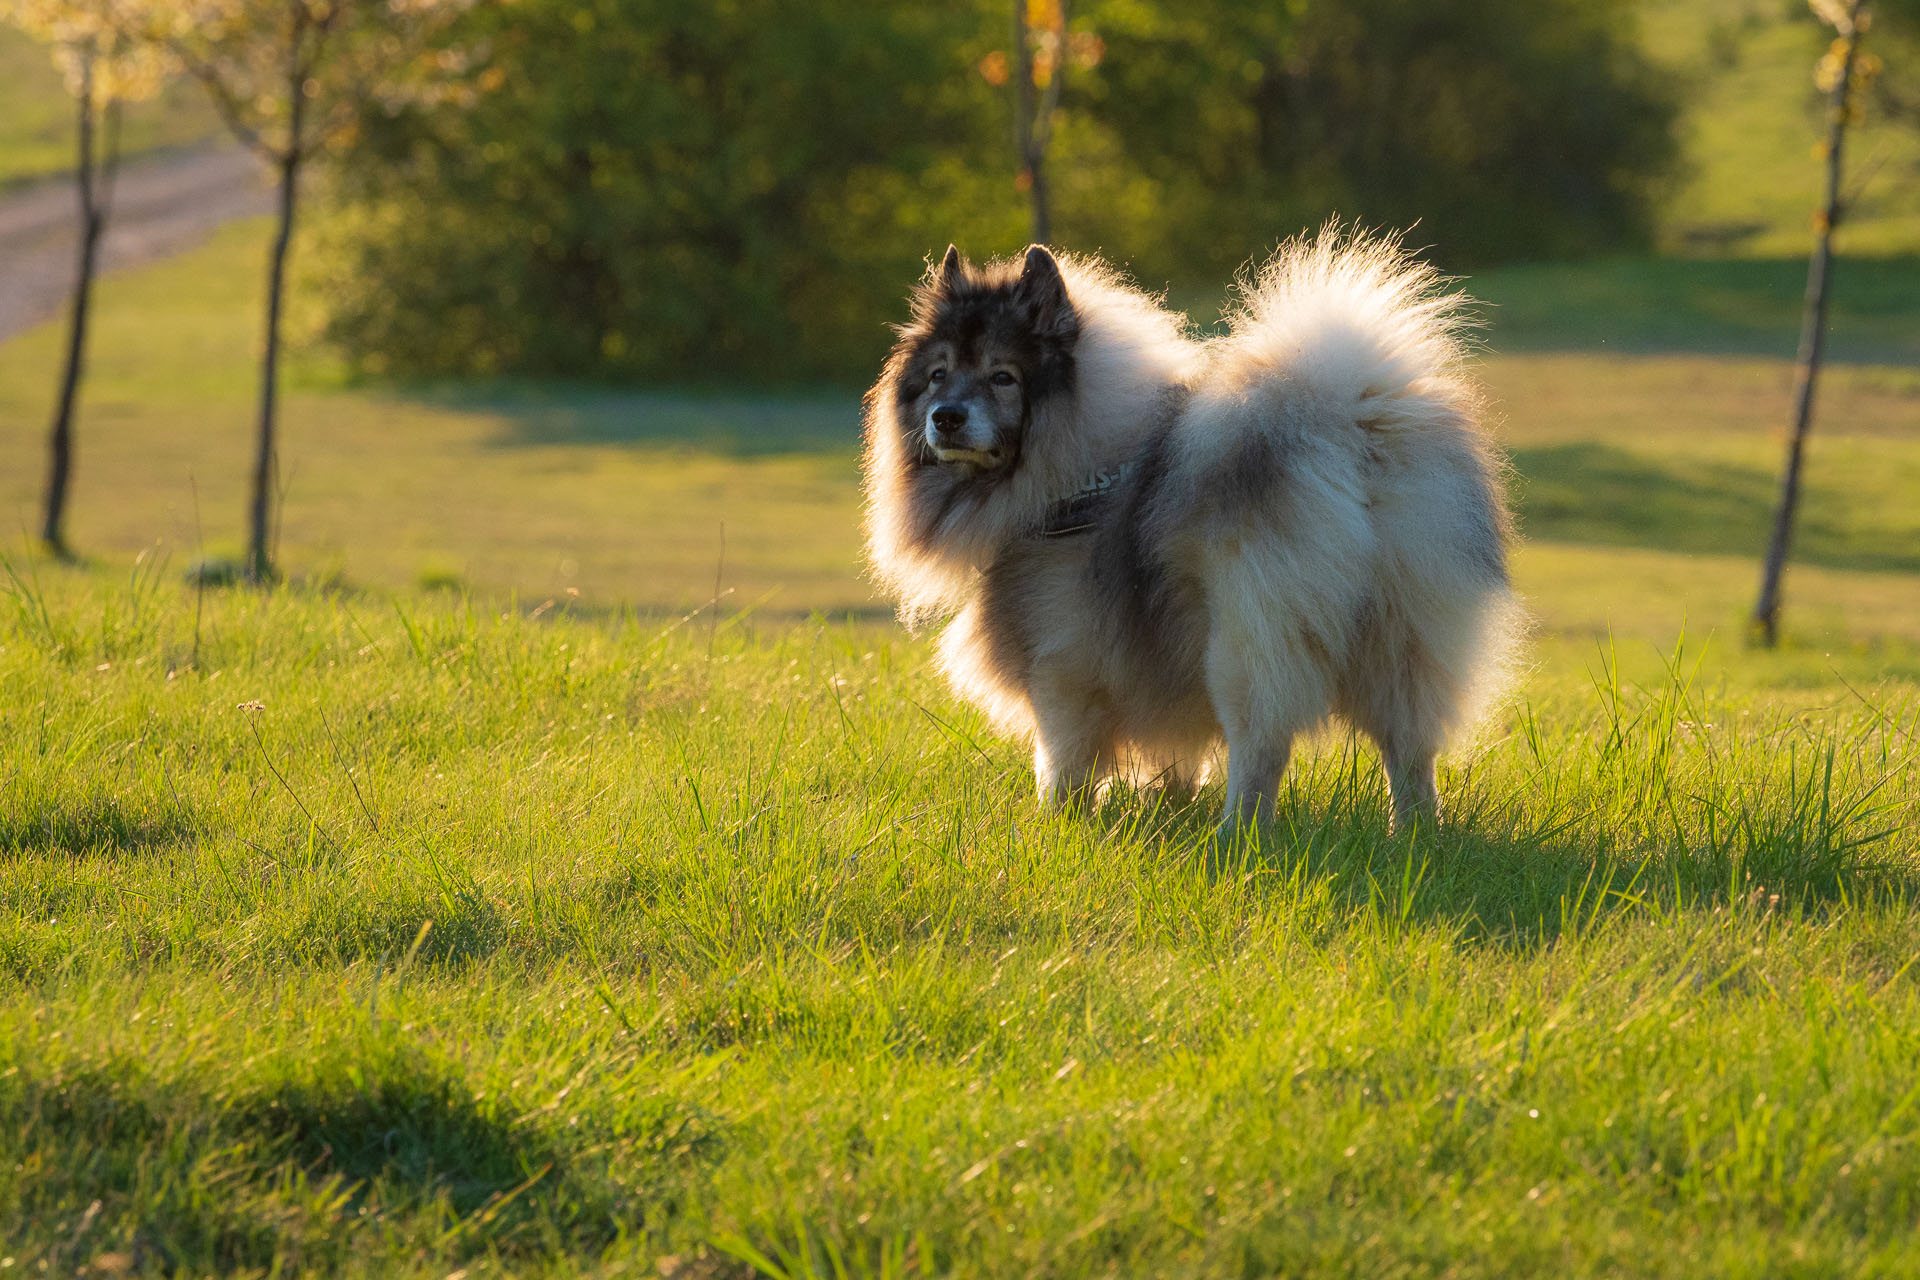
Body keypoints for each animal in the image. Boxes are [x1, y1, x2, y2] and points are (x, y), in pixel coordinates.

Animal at [867, 230, 1512, 836]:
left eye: (1003, 377)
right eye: (938, 376)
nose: (946, 417)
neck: (1077, 470)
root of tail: (1351, 430)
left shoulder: (1063, 670)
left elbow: (1062, 762)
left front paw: (1057, 824)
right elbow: (1175, 756)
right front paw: (1168, 803)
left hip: (1248, 641)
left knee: (1262, 745)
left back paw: (1235, 836)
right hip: (1404, 633)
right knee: (1410, 748)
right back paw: (1414, 833)